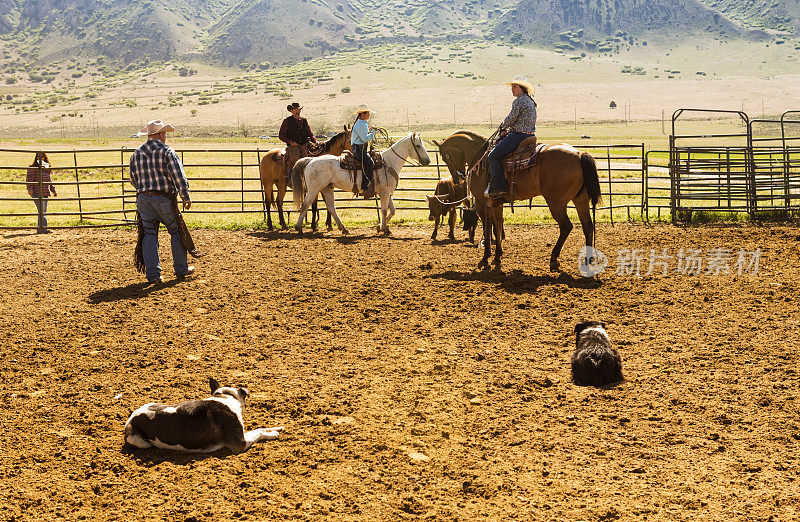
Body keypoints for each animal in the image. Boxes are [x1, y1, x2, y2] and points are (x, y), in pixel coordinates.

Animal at [125, 378, 284, 450]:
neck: (225, 397)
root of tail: (130, 421)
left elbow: (261, 428)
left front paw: (277, 428)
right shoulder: (239, 442)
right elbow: (258, 431)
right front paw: (272, 434)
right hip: (139, 441)